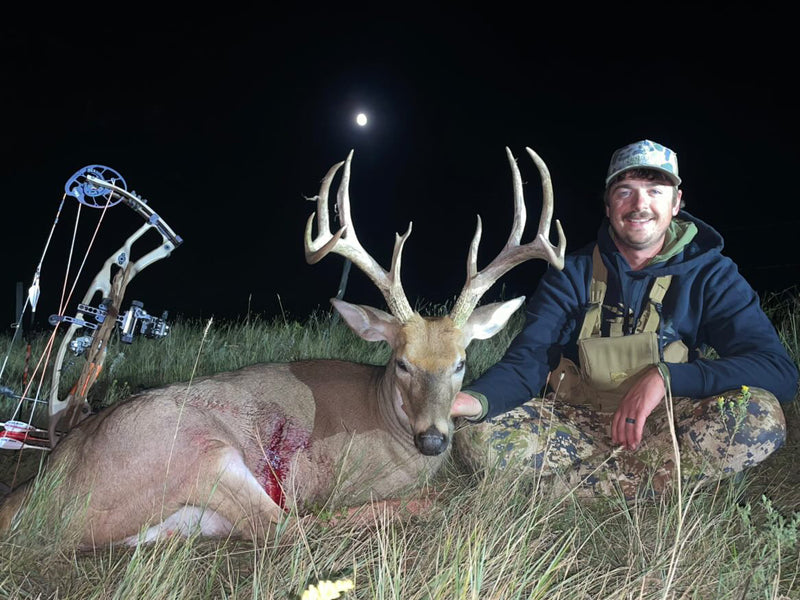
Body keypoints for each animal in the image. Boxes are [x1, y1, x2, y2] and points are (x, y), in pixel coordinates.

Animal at [0, 147, 565, 548]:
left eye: (461, 362)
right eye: (402, 363)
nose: (433, 440)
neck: (387, 420)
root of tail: (34, 493)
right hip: (200, 452)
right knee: (289, 528)